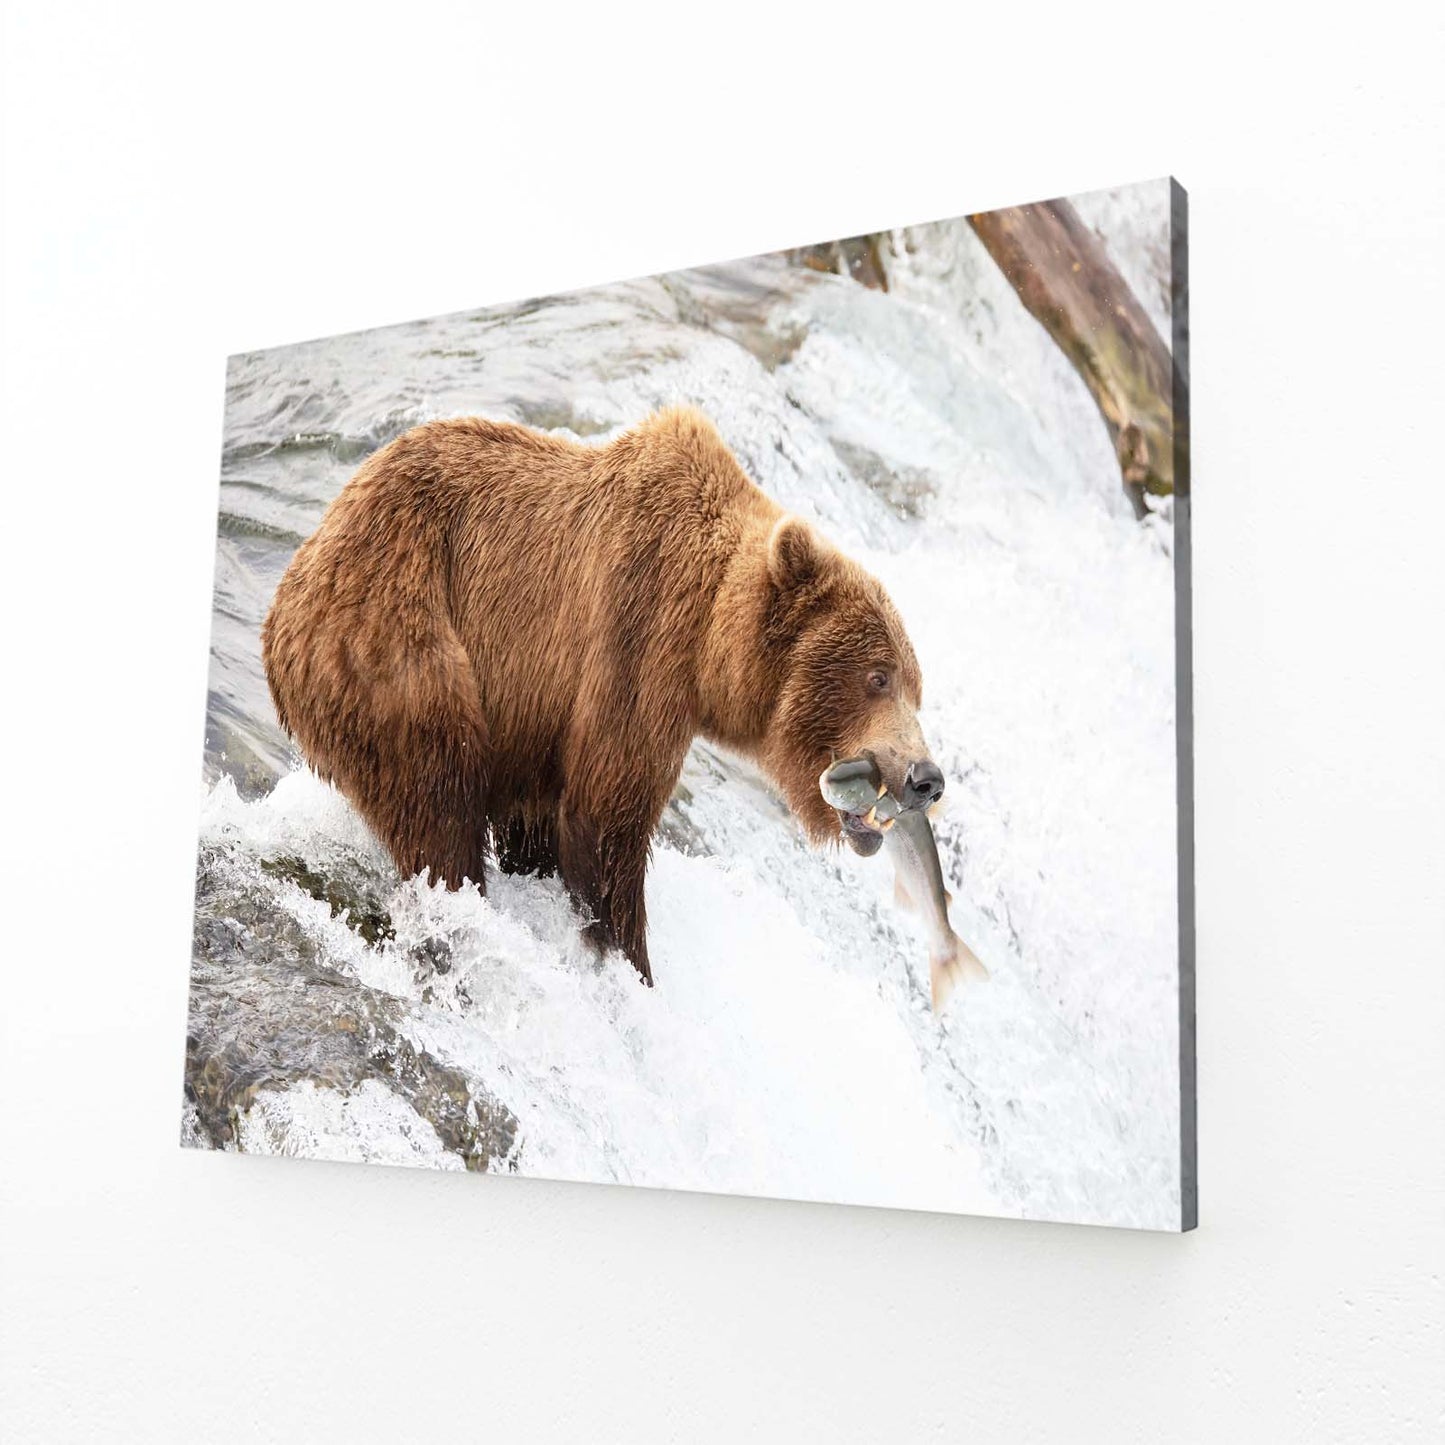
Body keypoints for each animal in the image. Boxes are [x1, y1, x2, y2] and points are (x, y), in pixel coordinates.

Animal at [262, 407, 946, 985]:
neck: (709, 637)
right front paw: (630, 964)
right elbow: (606, 815)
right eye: (878, 676)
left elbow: (542, 823)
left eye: (915, 685)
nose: (926, 777)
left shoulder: (540, 722)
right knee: (438, 797)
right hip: (397, 641)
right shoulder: (637, 633)